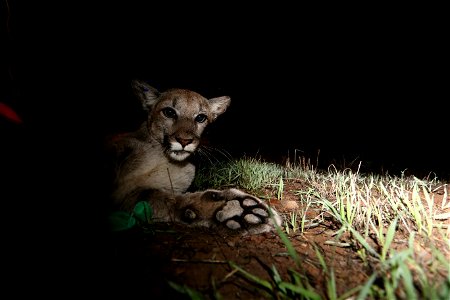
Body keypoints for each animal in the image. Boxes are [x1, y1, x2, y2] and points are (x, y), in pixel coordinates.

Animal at [106, 79, 282, 234]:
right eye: (169, 112)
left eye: (200, 117)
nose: (184, 140)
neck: (164, 159)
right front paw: (237, 209)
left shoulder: (134, 194)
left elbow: (163, 199)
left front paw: (235, 210)